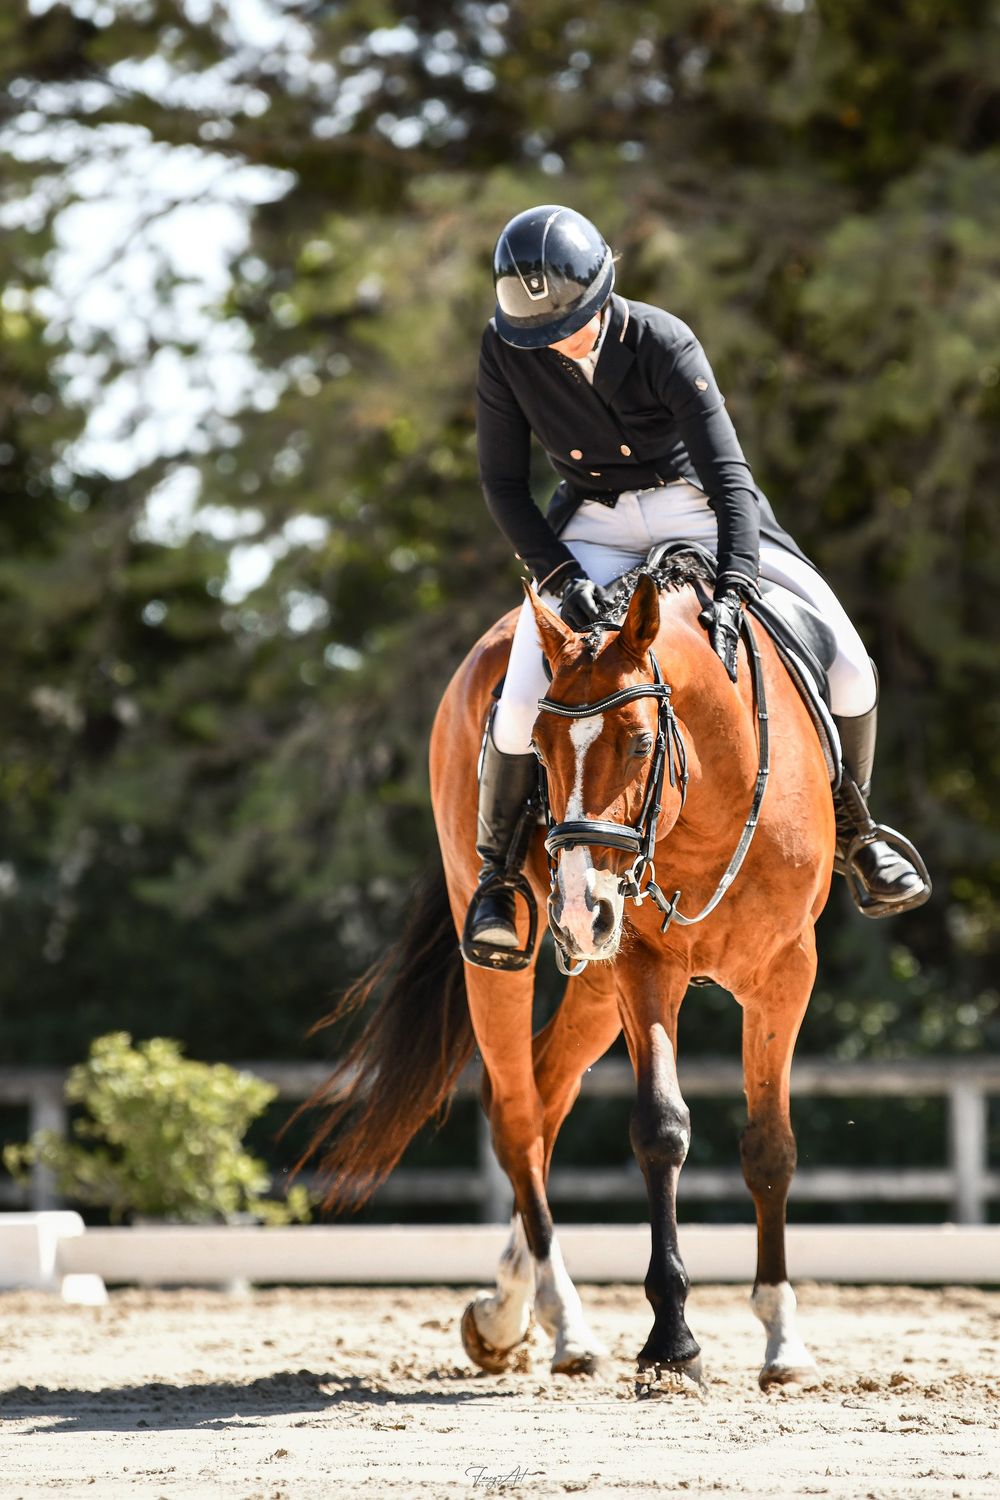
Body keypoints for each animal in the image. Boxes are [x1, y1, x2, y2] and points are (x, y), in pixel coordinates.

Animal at [302, 554, 832, 1391]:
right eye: (541, 750)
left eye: (643, 745)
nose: (581, 912)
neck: (707, 808)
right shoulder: (645, 966)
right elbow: (660, 1130)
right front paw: (672, 1344)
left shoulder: (786, 971)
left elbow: (769, 1146)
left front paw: (783, 1341)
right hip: (508, 952)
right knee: (517, 1109)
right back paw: (562, 1322)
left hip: (595, 978)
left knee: (547, 1088)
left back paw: (512, 1309)